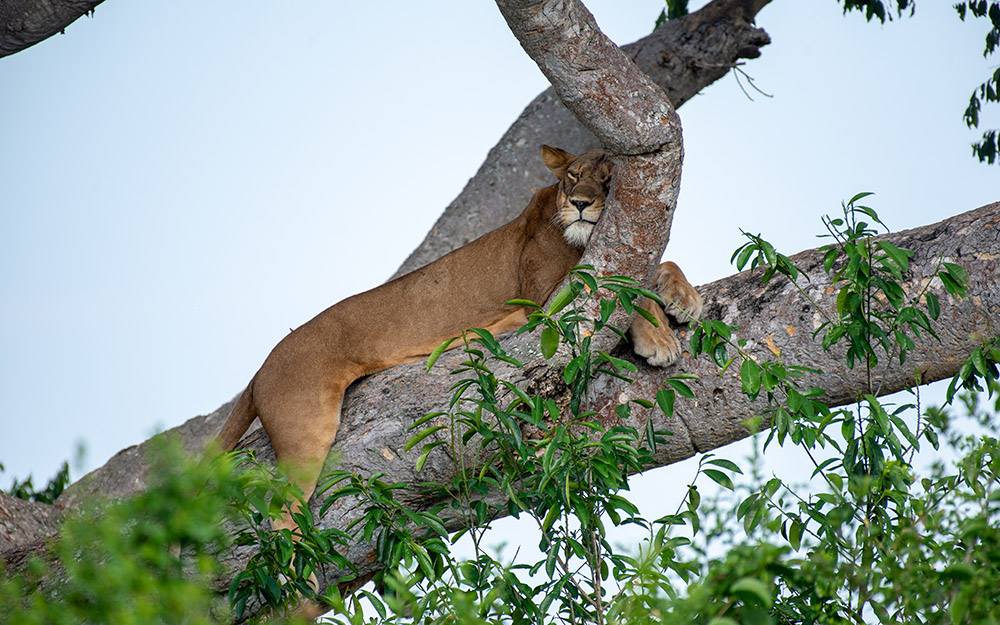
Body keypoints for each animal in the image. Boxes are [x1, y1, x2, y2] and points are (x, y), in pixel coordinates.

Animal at [216, 145, 702, 534]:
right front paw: (659, 336)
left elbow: (658, 267)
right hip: (305, 426)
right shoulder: (543, 303)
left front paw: (684, 299)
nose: (581, 204)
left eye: (608, 180)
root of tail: (260, 370)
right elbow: (623, 292)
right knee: (281, 511)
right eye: (572, 176)